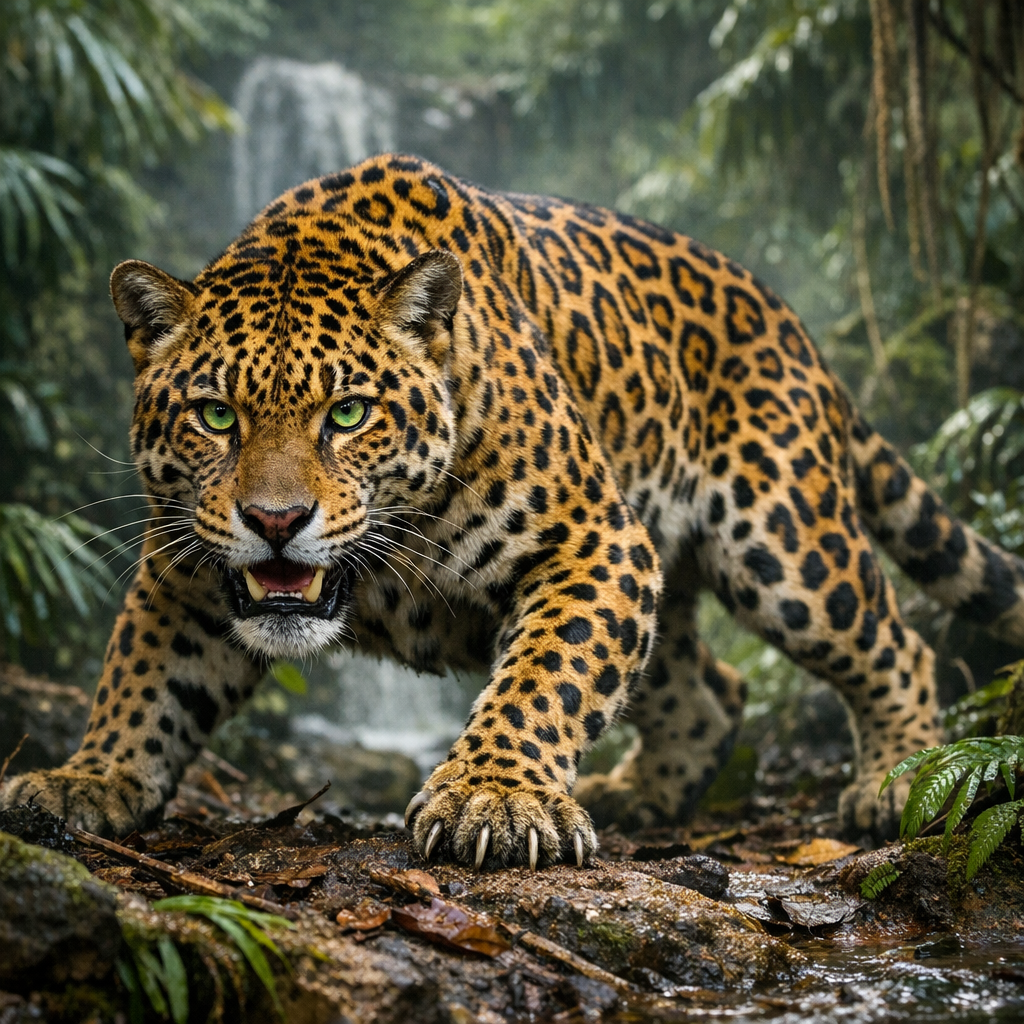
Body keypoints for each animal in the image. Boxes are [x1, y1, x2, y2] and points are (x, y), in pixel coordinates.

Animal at [4, 153, 1024, 869]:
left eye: (348, 414)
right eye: (216, 416)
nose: (276, 520)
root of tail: (791, 322)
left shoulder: (595, 541)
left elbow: (548, 677)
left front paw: (493, 798)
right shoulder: (183, 569)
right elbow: (142, 681)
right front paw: (86, 778)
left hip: (784, 543)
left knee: (894, 643)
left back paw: (891, 782)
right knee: (710, 687)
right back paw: (640, 794)